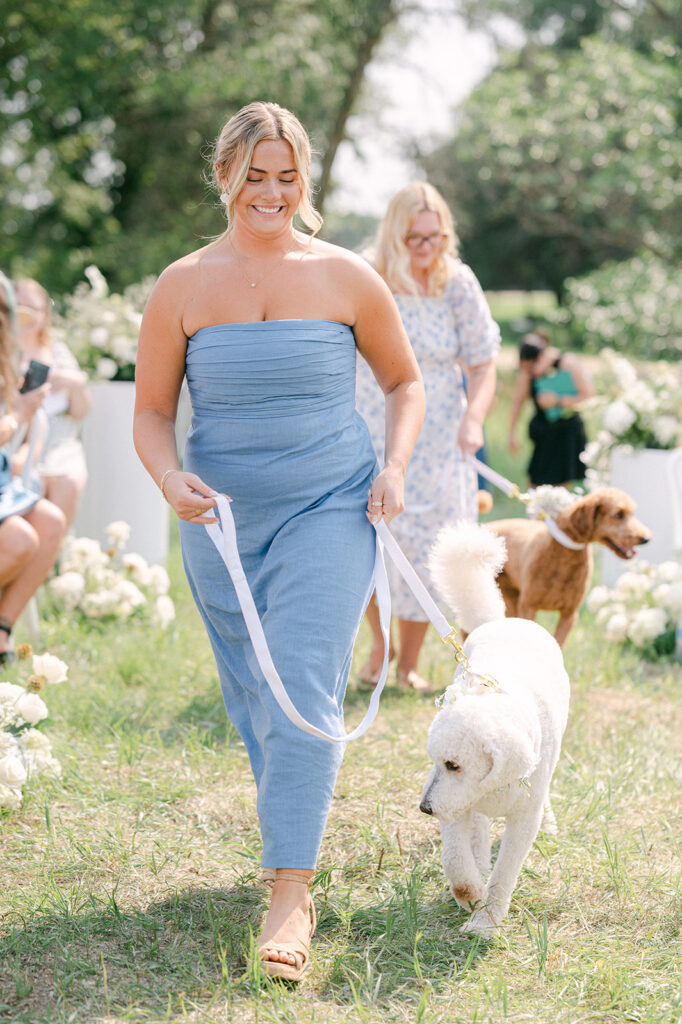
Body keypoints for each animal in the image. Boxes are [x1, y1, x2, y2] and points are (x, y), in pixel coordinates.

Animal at [419, 524, 569, 937]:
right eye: (434, 761)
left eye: (454, 765)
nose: (425, 808)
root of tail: (503, 619)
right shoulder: (455, 804)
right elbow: (455, 859)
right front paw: (470, 894)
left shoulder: (522, 819)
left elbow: (506, 873)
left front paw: (486, 920)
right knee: (479, 829)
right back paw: (480, 858)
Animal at [485, 483, 651, 643]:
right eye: (618, 515)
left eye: (633, 513)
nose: (646, 538)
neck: (563, 556)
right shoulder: (528, 607)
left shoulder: (569, 614)